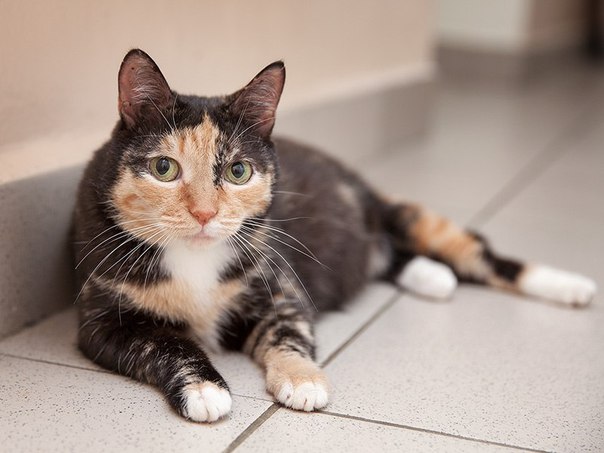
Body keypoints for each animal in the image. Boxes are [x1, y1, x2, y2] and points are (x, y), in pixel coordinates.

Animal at [73, 49, 597, 423]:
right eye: (164, 168)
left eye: (239, 171)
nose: (205, 213)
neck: (195, 261)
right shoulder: (101, 320)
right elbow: (163, 343)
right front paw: (204, 389)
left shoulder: (278, 284)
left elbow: (289, 331)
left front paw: (304, 381)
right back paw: (432, 277)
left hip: (398, 213)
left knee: (478, 253)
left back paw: (571, 286)